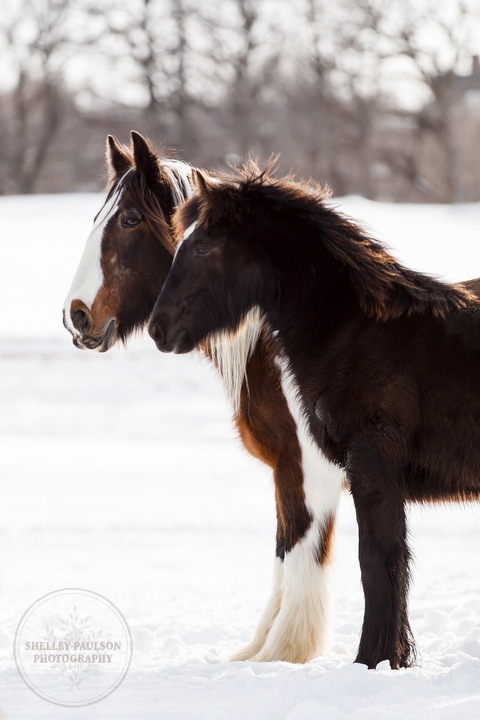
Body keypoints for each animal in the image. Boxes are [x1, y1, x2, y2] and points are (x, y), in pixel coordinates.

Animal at [63, 134, 346, 664]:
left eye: (129, 220)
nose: (76, 315)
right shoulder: (286, 467)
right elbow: (283, 549)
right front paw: (258, 651)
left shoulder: (311, 469)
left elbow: (301, 552)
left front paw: (283, 653)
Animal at [148, 162, 480, 668]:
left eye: (202, 246)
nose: (158, 329)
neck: (355, 333)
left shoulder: (370, 469)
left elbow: (378, 561)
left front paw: (373, 659)